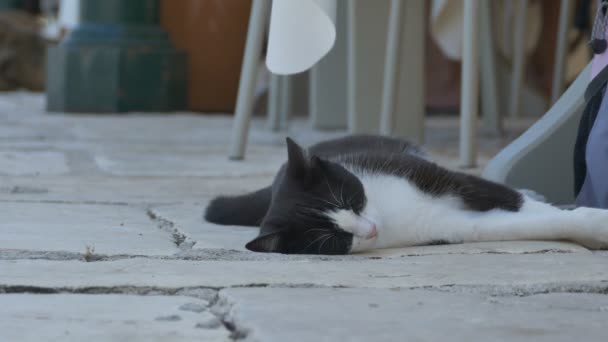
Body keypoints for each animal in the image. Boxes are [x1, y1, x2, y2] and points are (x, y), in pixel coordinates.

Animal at [205, 135, 608, 255]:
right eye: (333, 238)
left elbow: (509, 198)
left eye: (351, 198)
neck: (386, 210)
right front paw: (594, 227)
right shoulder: (446, 226)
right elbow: (501, 226)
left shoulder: (430, 175)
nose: (370, 230)